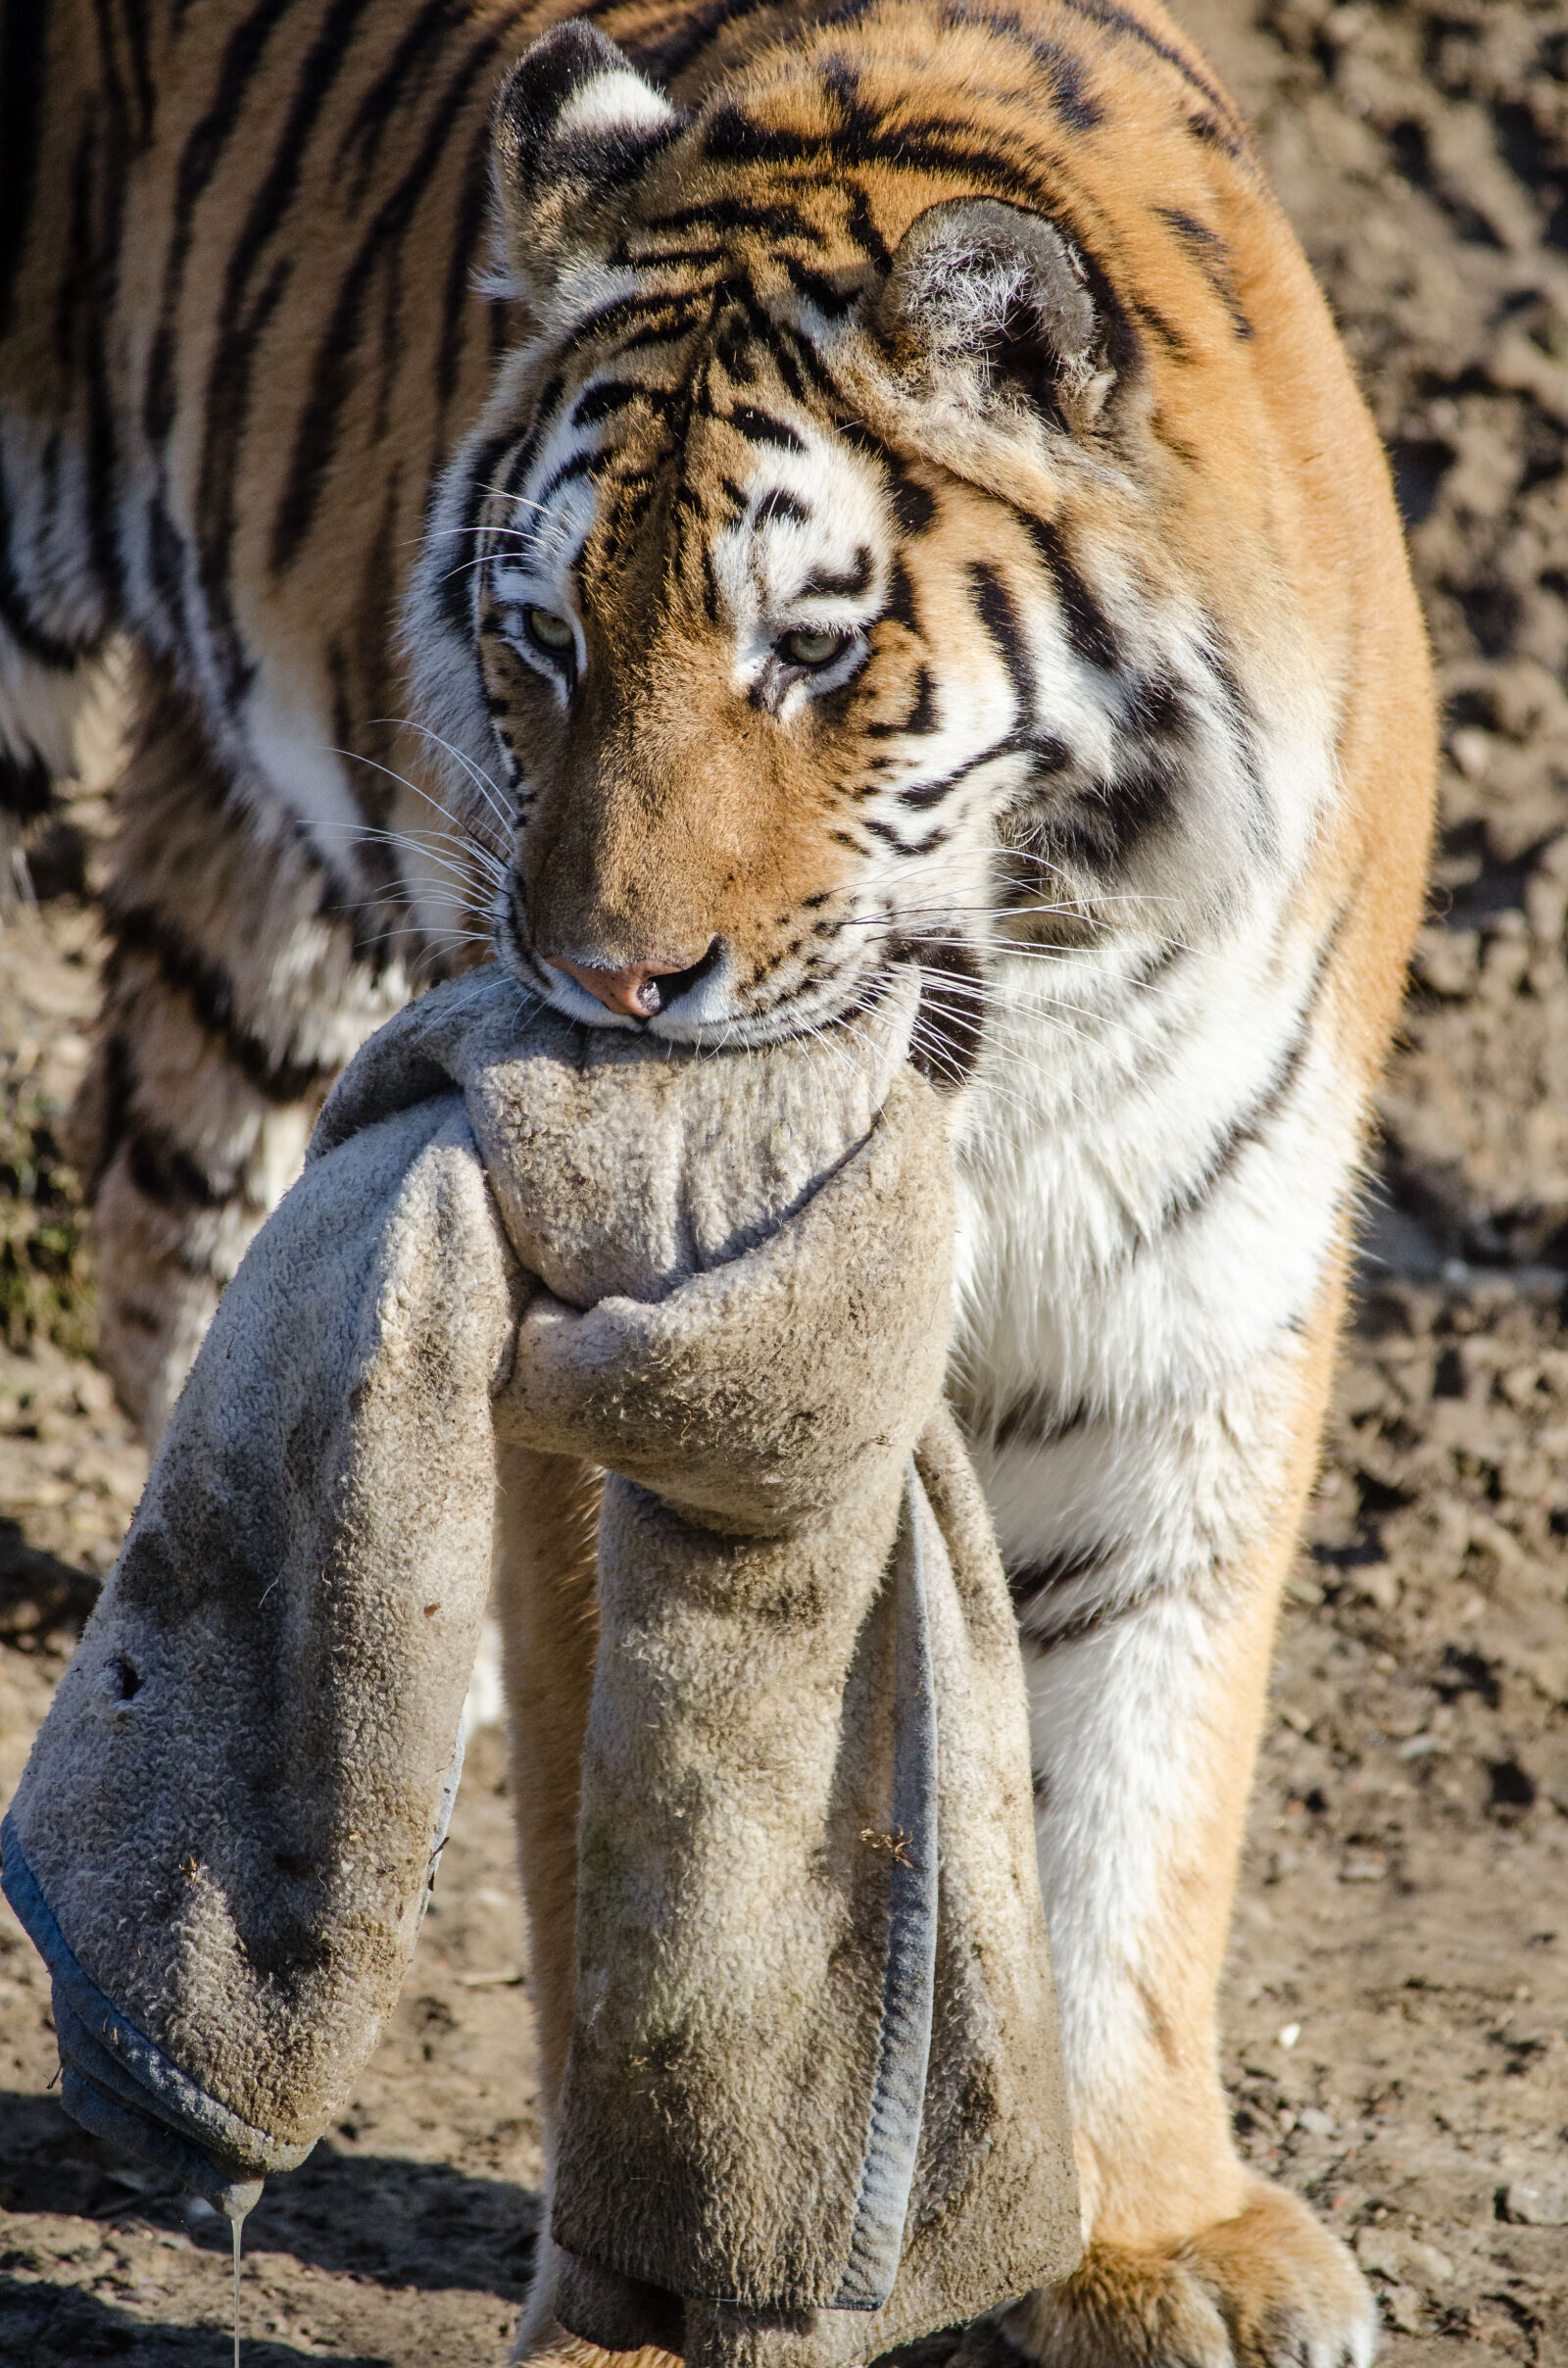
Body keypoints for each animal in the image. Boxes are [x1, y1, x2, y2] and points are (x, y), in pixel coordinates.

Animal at [0, 0, 1440, 2358]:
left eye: (810, 651)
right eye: (542, 640)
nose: (602, 973)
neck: (1016, 1016)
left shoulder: (1194, 1278)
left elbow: (1139, 1776)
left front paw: (1149, 2232)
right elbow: (646, 1874)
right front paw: (652, 2291)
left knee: (163, 1167)